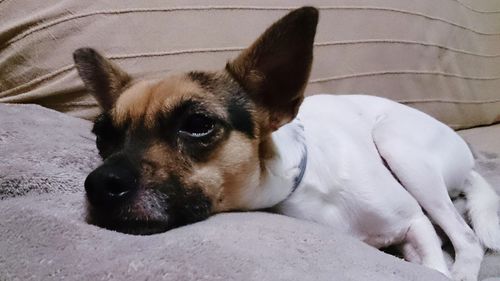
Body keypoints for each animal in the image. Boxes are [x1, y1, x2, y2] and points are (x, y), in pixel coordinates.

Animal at [72, 6, 498, 280]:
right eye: (102, 136)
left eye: (197, 124)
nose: (99, 184)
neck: (301, 191)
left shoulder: (414, 222)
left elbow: (434, 260)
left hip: (399, 147)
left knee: (467, 239)